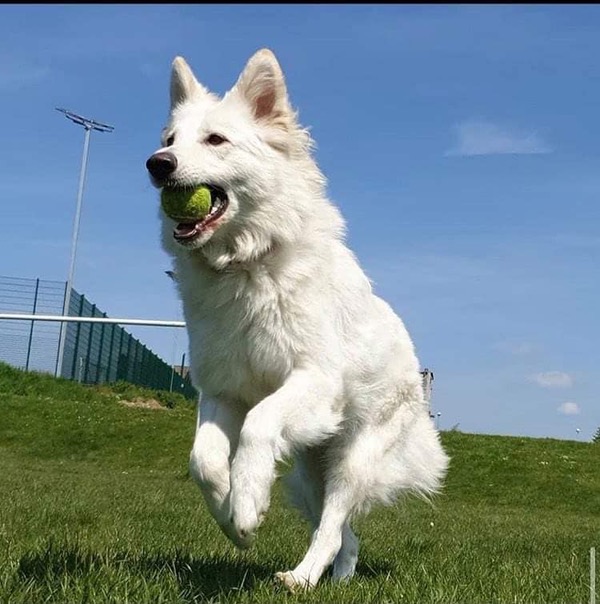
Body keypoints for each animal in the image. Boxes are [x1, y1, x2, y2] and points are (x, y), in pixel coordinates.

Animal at [145, 49, 448, 592]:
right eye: (170, 140)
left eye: (215, 140)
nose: (157, 164)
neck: (245, 264)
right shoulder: (221, 392)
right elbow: (203, 461)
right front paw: (232, 516)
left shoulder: (312, 380)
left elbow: (259, 425)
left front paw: (246, 505)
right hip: (309, 476)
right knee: (345, 534)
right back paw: (337, 577)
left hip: (351, 462)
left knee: (332, 527)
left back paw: (303, 578)